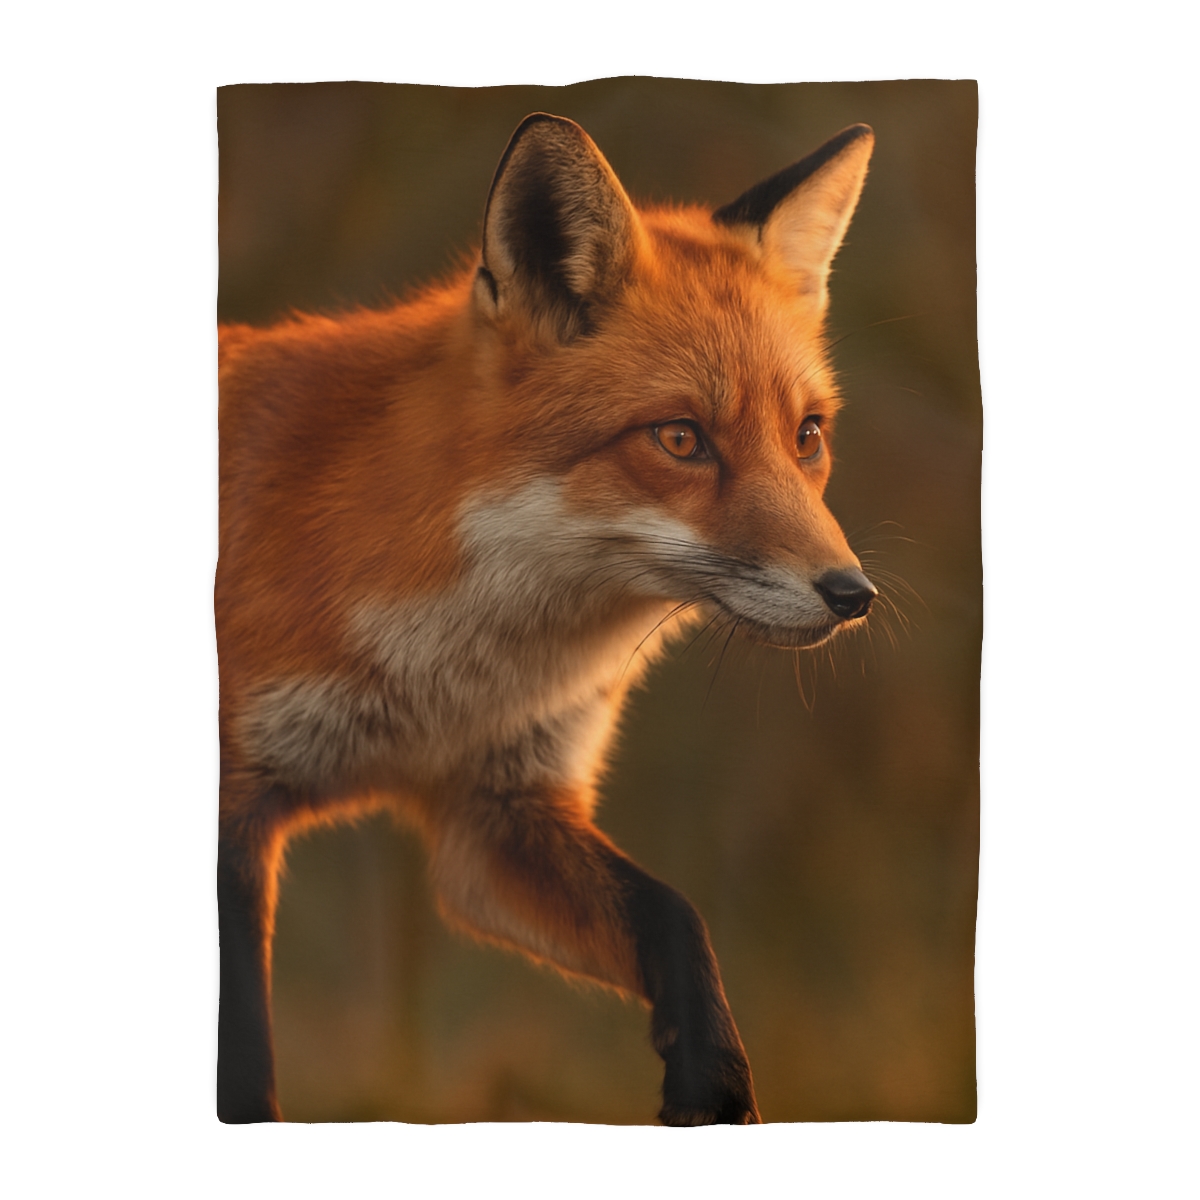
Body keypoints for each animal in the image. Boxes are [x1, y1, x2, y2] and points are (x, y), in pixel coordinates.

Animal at [216, 112, 878, 1125]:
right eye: (681, 439)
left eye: (807, 436)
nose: (851, 594)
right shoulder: (234, 813)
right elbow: (243, 1062)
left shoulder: (496, 817)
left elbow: (676, 918)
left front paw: (713, 1086)